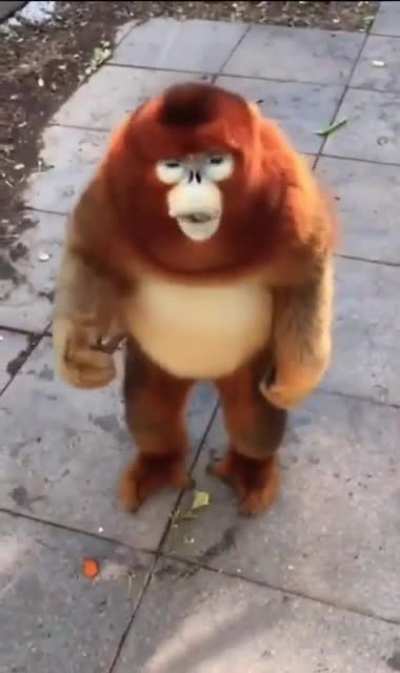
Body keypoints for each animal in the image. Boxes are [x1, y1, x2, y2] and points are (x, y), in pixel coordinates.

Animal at [53, 82, 335, 516]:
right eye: (172, 165)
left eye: (215, 160)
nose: (197, 179)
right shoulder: (109, 191)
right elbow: (90, 257)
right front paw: (77, 357)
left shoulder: (291, 194)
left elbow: (306, 275)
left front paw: (296, 382)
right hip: (156, 362)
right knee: (148, 407)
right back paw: (158, 463)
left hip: (247, 364)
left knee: (253, 419)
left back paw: (251, 469)